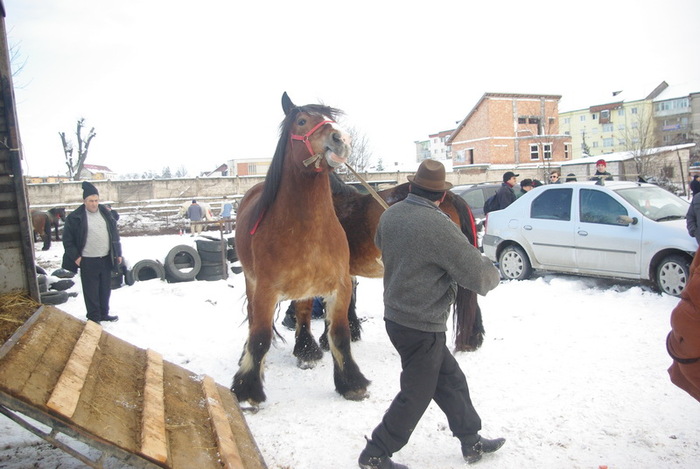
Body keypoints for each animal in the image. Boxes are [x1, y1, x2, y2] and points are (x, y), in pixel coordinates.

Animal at [231, 92, 372, 406]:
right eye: (302, 121)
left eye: (331, 118)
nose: (341, 138)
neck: (307, 230)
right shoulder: (265, 290)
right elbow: (260, 337)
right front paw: (247, 389)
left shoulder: (340, 287)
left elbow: (340, 335)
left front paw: (351, 383)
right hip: (250, 280)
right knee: (254, 323)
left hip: (307, 289)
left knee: (305, 314)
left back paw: (306, 351)